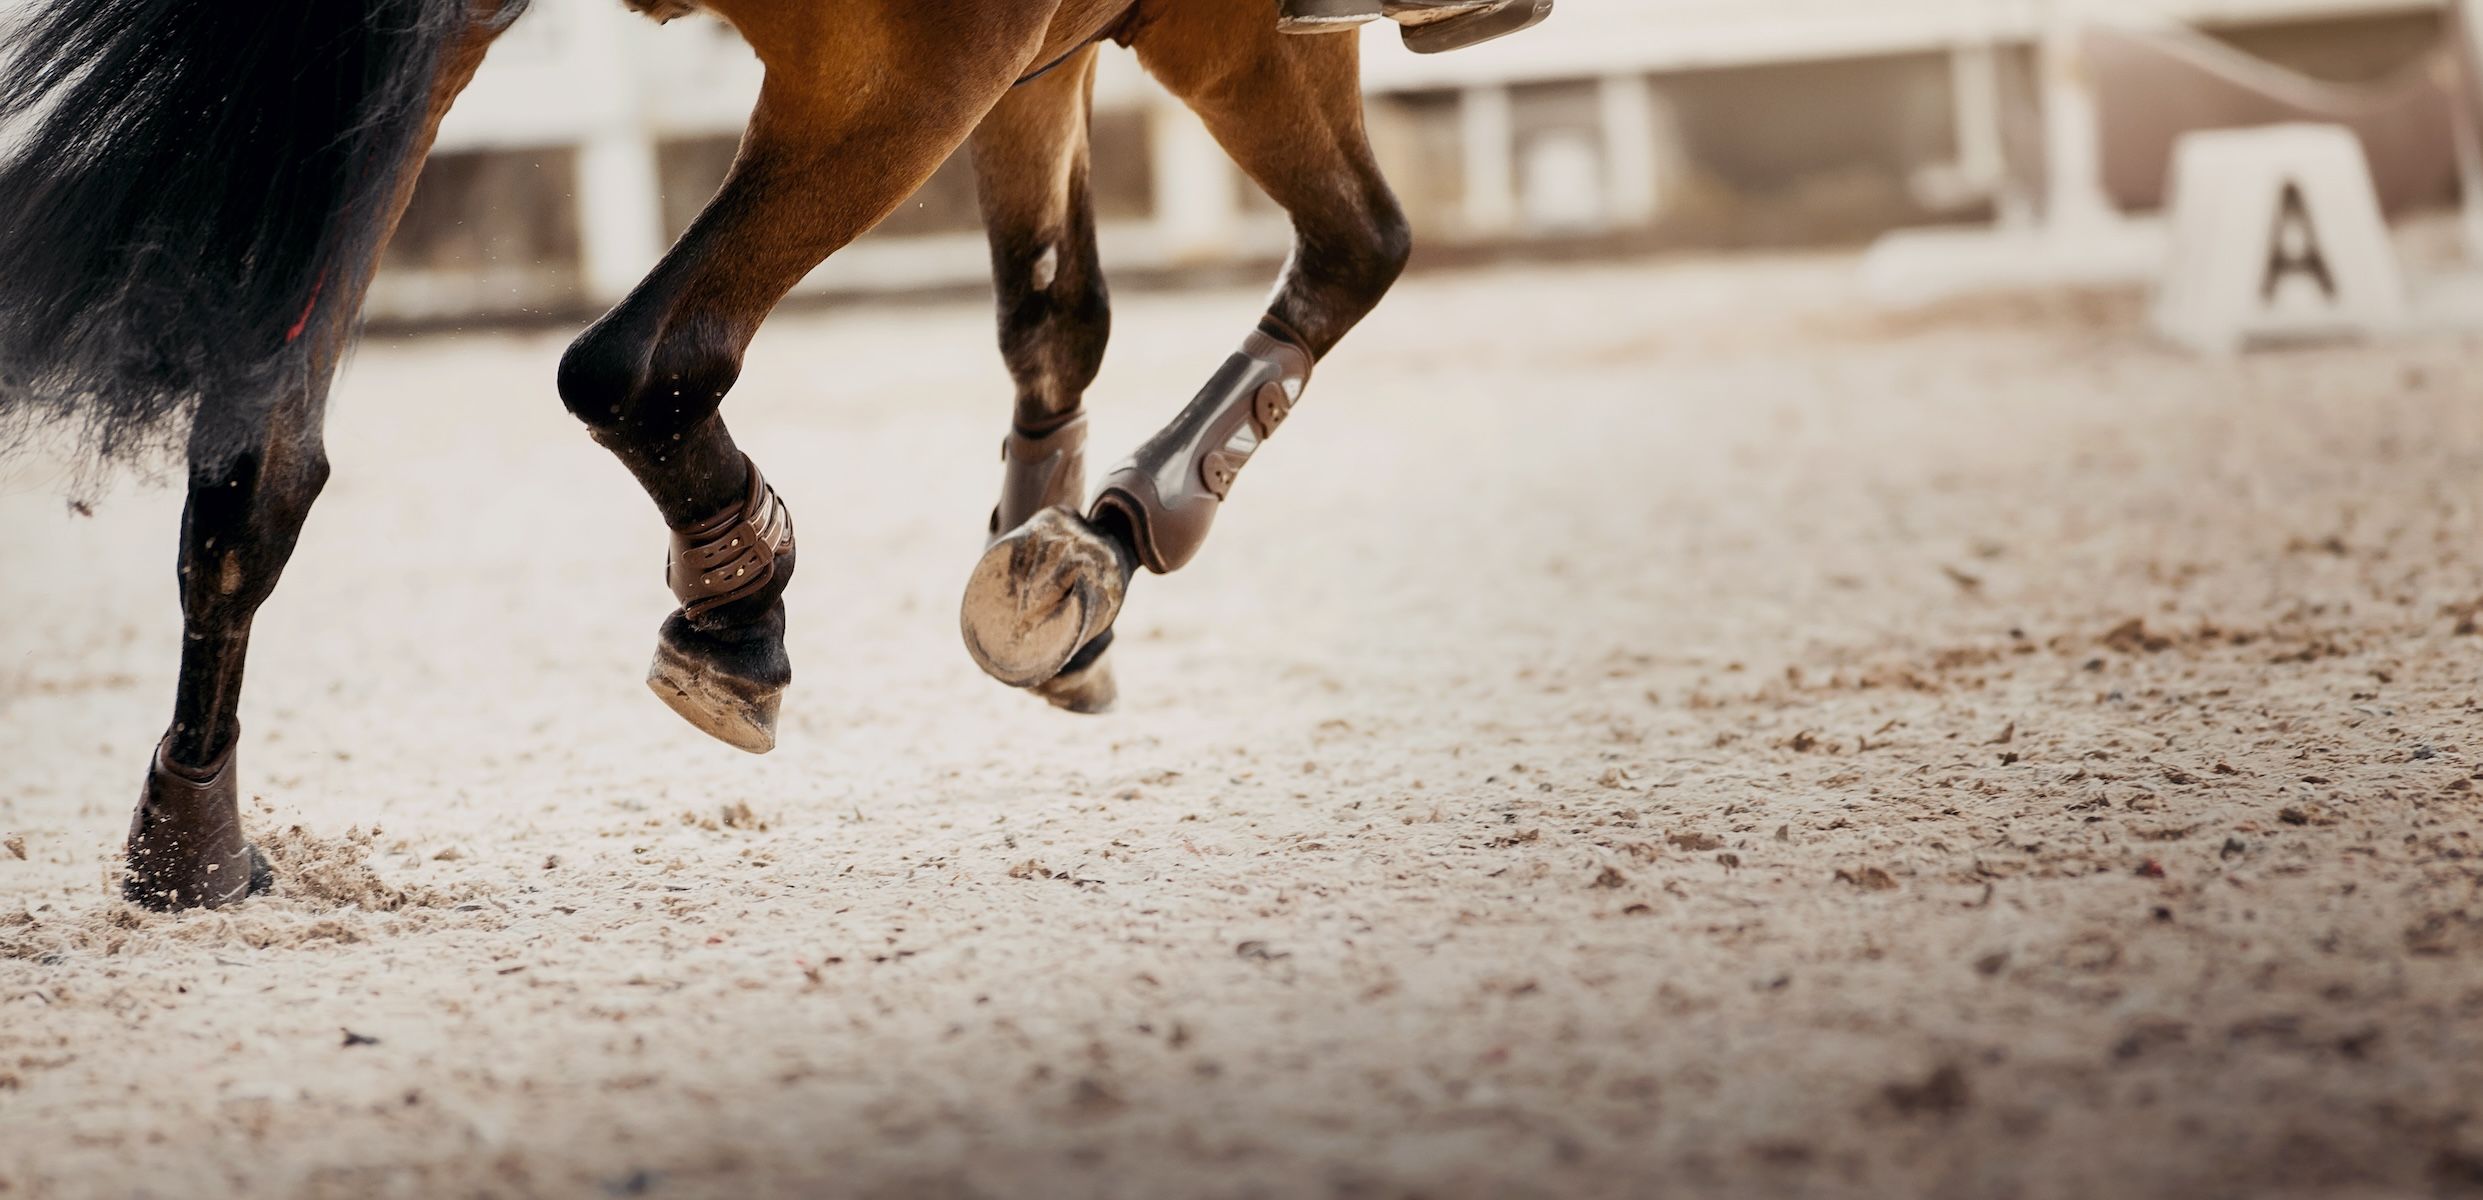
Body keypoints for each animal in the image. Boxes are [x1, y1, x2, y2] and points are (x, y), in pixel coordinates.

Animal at [0, 0, 1424, 911]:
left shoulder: (1048, 63)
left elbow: (1053, 314)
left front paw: (1054, 576)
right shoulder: (1202, 33)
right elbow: (1359, 250)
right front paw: (1099, 547)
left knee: (261, 456)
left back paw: (191, 846)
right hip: (899, 72)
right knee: (640, 359)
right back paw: (741, 613)